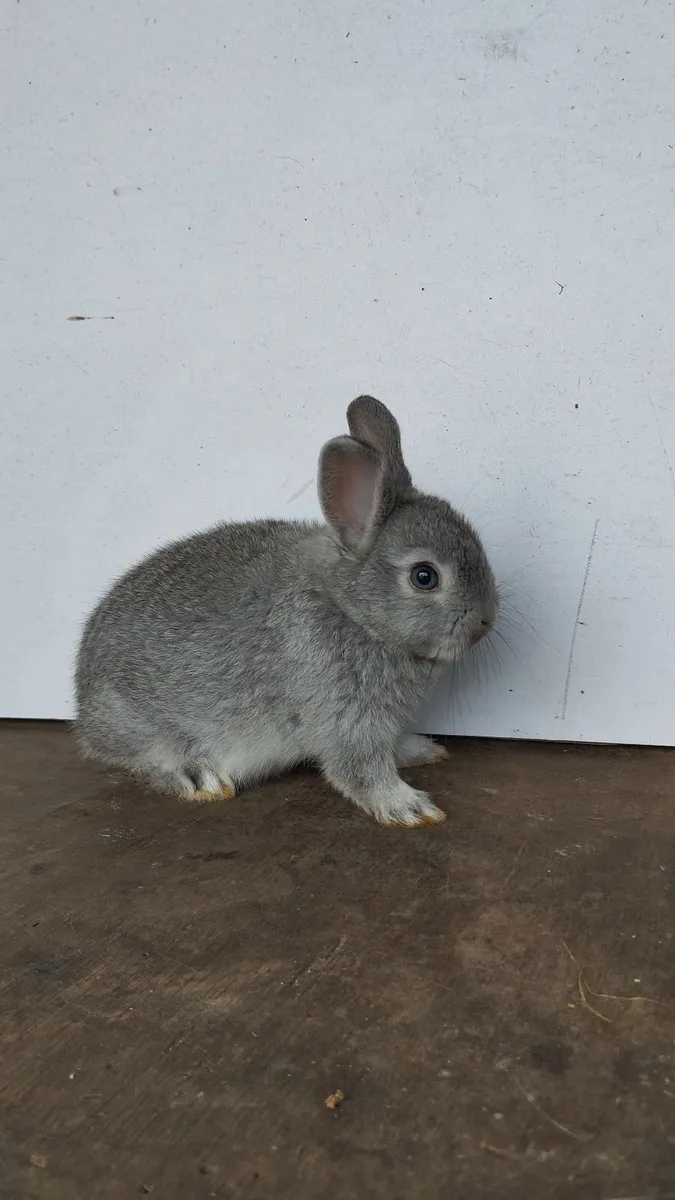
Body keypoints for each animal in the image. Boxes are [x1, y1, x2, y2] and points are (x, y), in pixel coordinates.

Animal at [75, 396, 498, 828]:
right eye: (424, 577)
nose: (485, 621)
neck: (351, 611)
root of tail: (83, 698)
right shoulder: (346, 720)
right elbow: (360, 771)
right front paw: (409, 807)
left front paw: (423, 750)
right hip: (140, 727)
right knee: (148, 762)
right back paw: (202, 779)